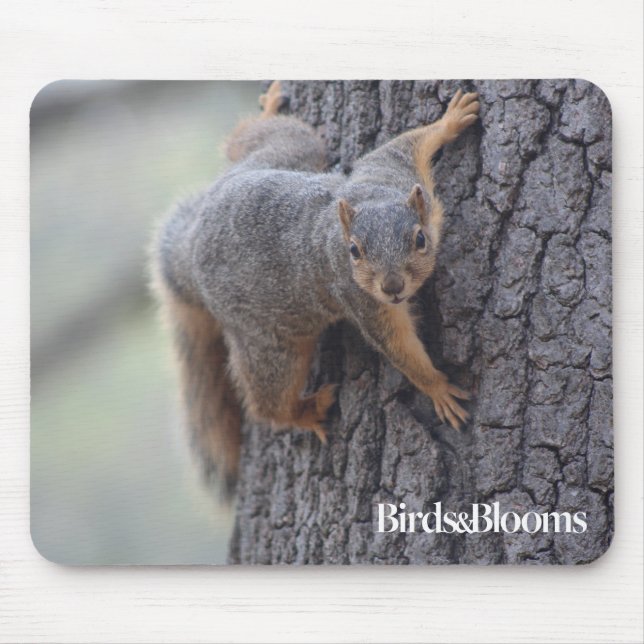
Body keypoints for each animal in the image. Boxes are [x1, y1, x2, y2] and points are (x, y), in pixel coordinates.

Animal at [153, 81, 480, 496]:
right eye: (354, 251)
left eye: (419, 239)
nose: (392, 287)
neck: (372, 198)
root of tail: (193, 245)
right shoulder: (361, 300)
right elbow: (398, 346)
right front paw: (437, 387)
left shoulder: (392, 171)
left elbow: (405, 143)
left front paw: (450, 119)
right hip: (270, 345)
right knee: (268, 401)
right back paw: (304, 412)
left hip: (288, 153)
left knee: (254, 140)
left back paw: (267, 110)